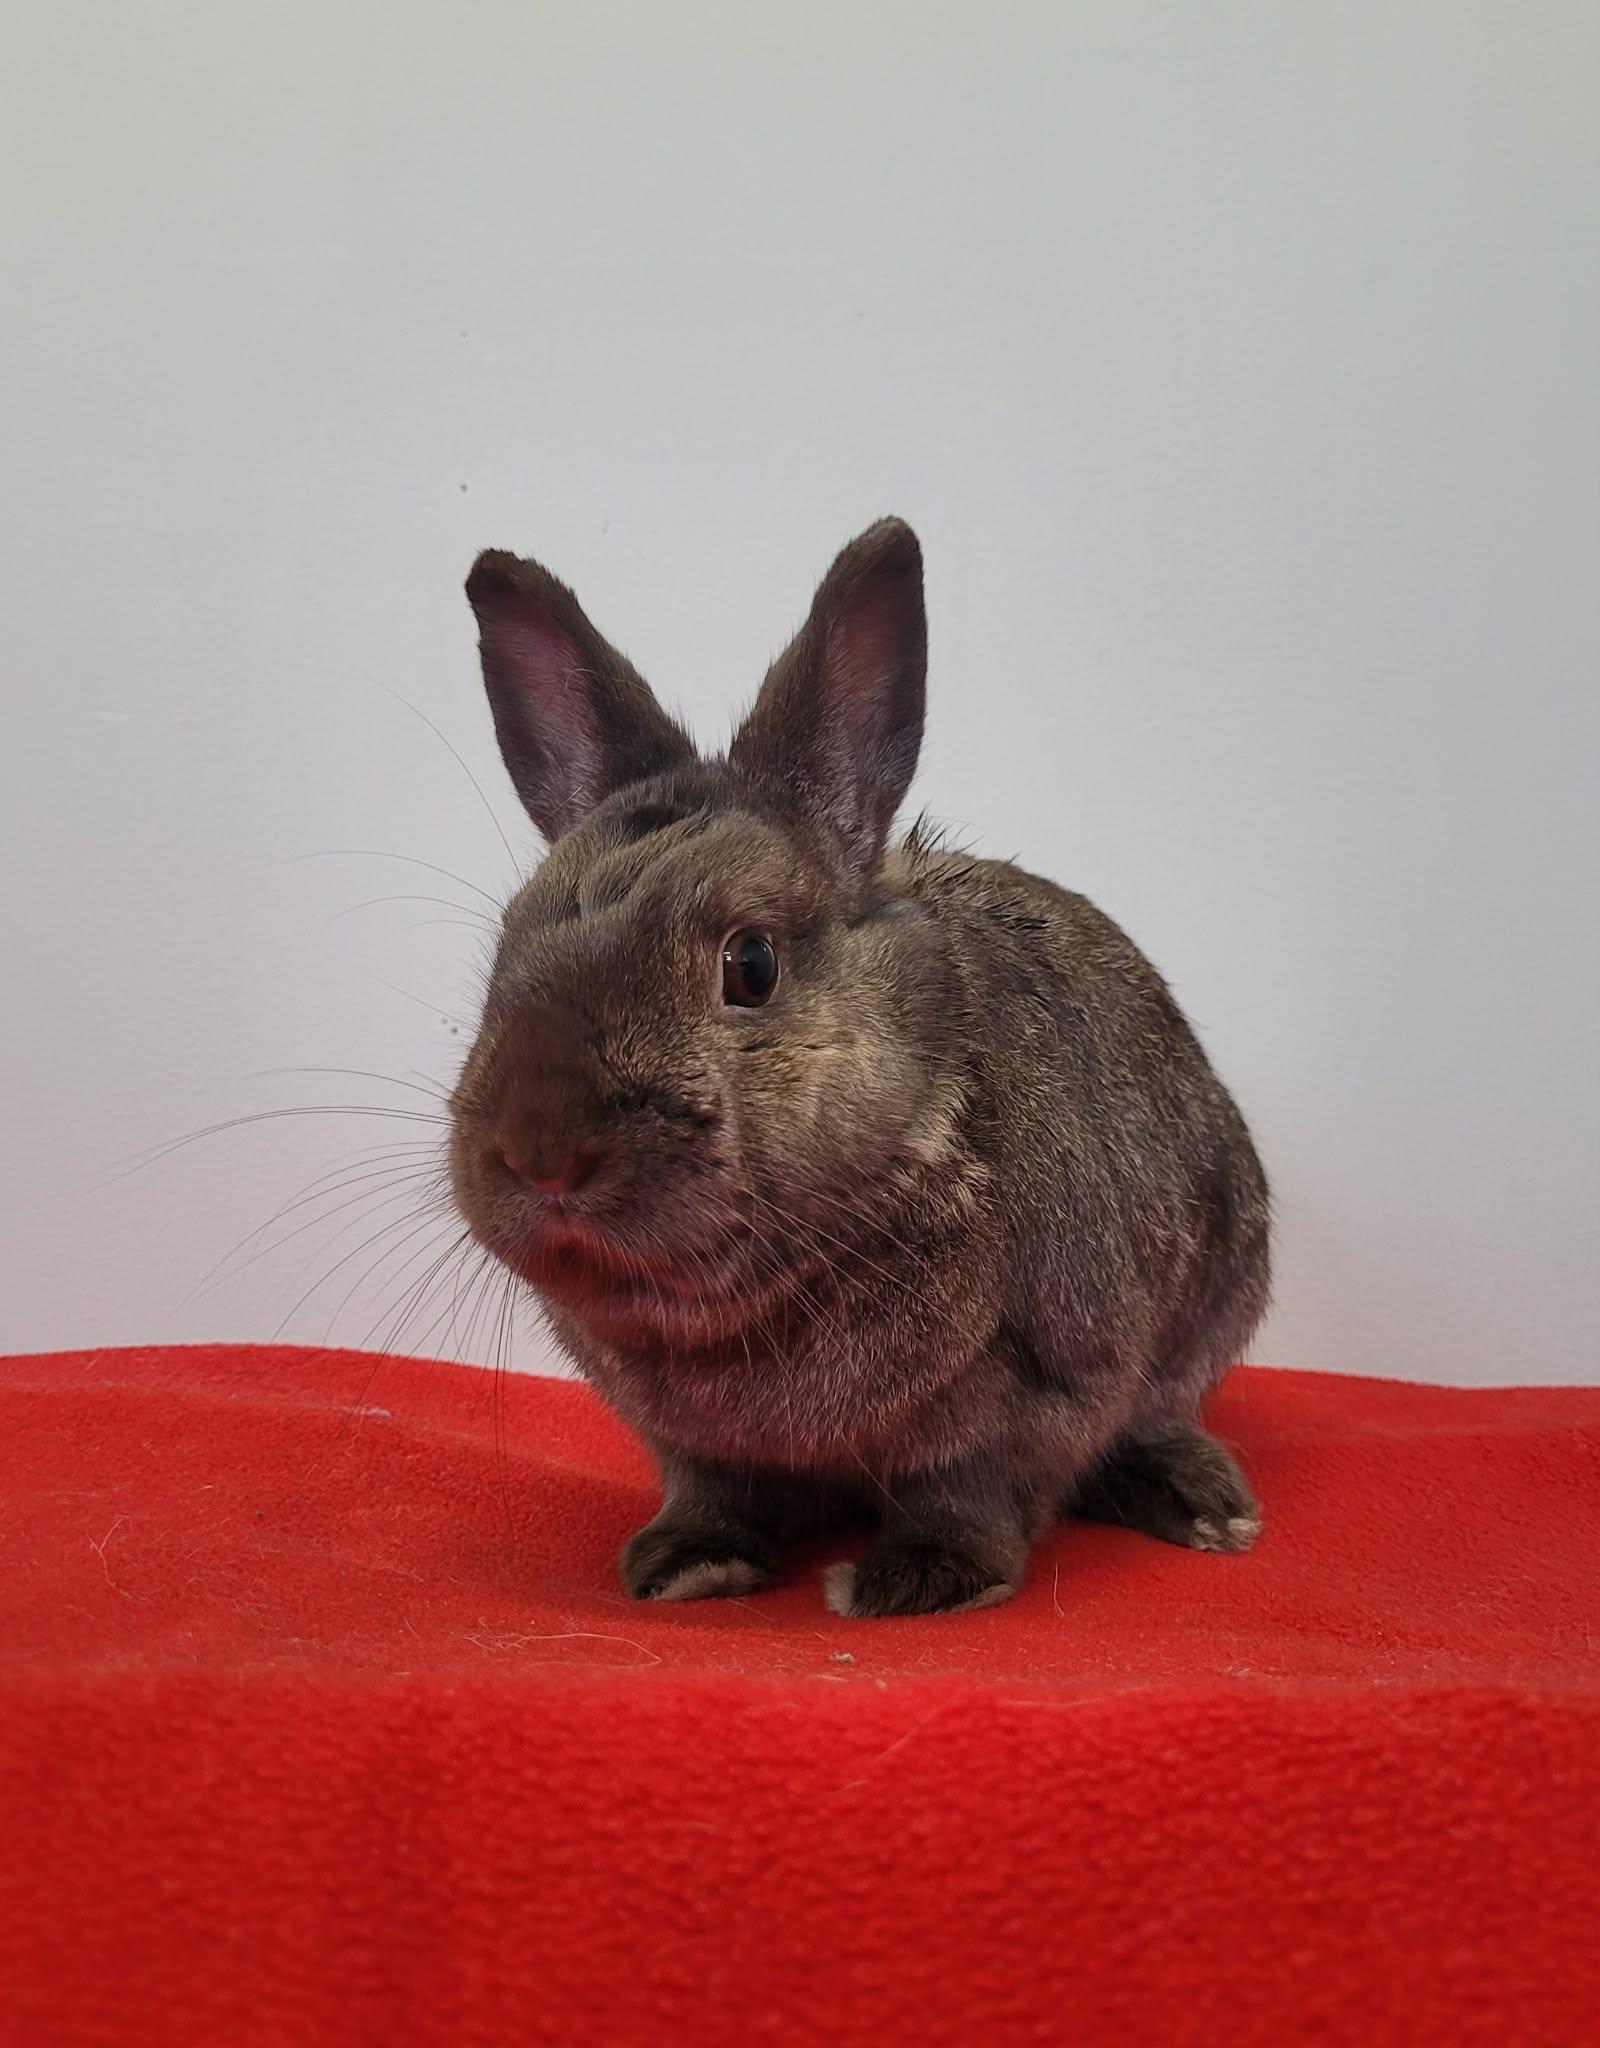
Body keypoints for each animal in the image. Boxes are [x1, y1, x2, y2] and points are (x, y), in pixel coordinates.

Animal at [448, 518, 1270, 1617]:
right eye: (505, 951)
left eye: (749, 963)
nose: (539, 1155)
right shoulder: (690, 1442)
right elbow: (713, 1490)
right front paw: (687, 1563)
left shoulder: (1038, 1393)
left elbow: (970, 1491)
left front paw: (916, 1581)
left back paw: (1207, 1508)